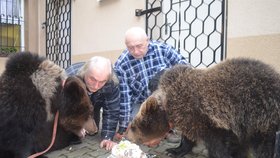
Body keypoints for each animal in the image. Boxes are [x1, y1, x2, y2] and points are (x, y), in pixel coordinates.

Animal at [126, 58, 280, 158]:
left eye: (133, 126)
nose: (126, 136)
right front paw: (175, 150)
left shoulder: (213, 124)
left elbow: (219, 148)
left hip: (262, 115)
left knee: (263, 146)